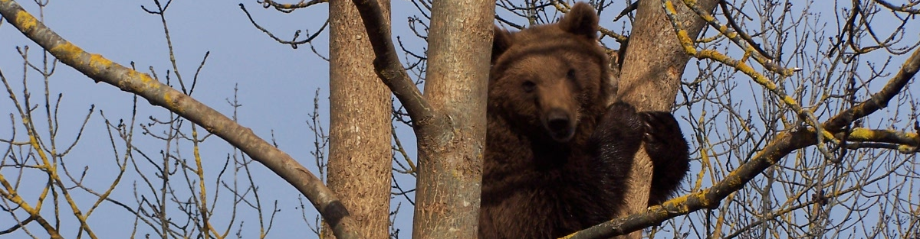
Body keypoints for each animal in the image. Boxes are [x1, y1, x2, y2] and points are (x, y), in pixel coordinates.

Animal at [482, 2, 688, 239]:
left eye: (571, 72)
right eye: (528, 83)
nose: (559, 120)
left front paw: (659, 131)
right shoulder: (503, 172)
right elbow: (546, 213)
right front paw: (620, 122)